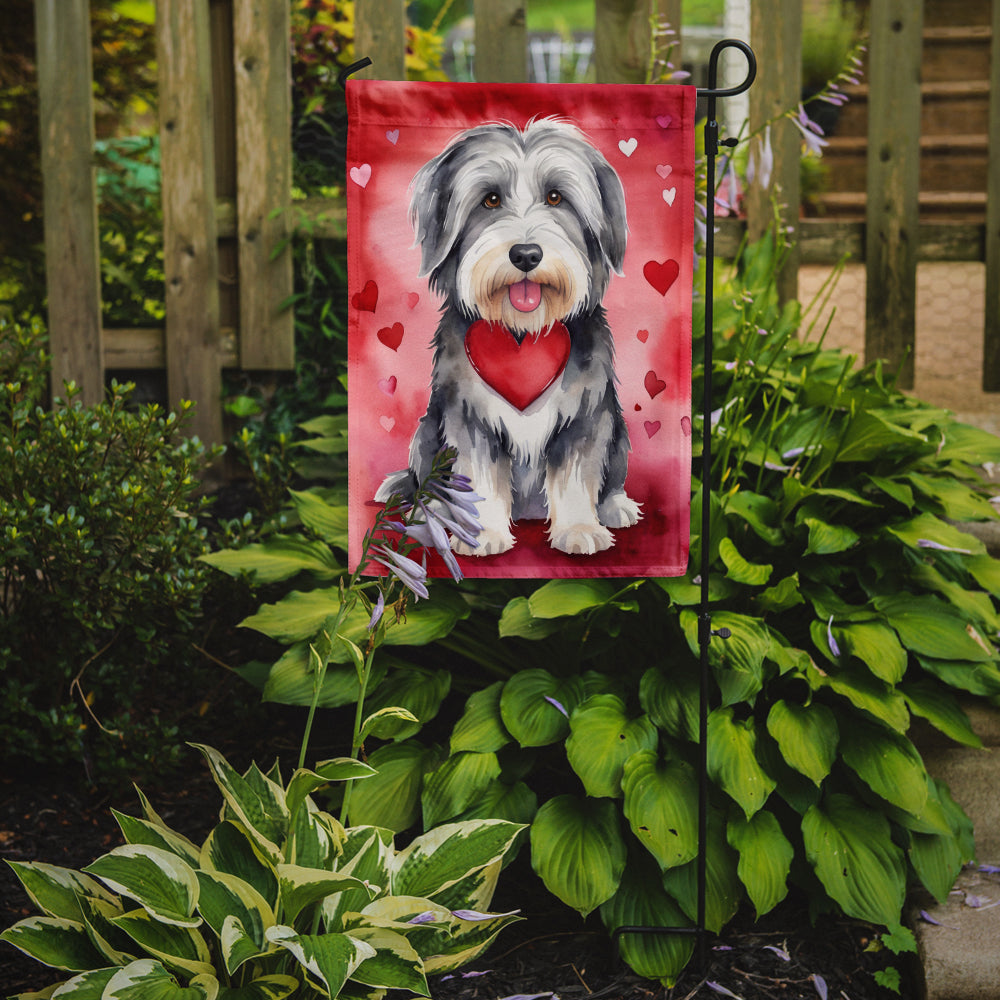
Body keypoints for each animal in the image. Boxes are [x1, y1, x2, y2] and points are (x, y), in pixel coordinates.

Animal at [376, 119, 640, 556]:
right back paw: (436, 508)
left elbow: (576, 476)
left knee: (612, 477)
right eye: (490, 200)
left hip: (616, 428)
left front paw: (579, 529)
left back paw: (616, 506)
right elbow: (479, 478)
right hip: (426, 433)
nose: (527, 254)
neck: (523, 330)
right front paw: (482, 534)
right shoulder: (469, 418)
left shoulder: (585, 415)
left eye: (556, 197)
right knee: (427, 481)